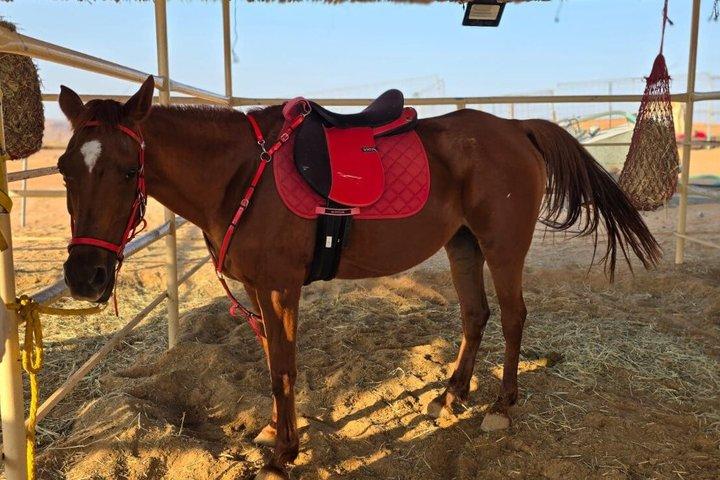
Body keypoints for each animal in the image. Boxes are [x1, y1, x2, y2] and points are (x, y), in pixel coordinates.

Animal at [57, 76, 660, 479]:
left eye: (129, 170)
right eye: (64, 170)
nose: (84, 276)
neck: (240, 172)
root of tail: (516, 127)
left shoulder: (280, 288)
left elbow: (283, 369)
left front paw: (283, 456)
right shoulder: (257, 287)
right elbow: (272, 365)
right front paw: (276, 433)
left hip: (502, 247)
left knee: (513, 316)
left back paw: (501, 405)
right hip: (462, 245)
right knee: (476, 315)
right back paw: (452, 395)